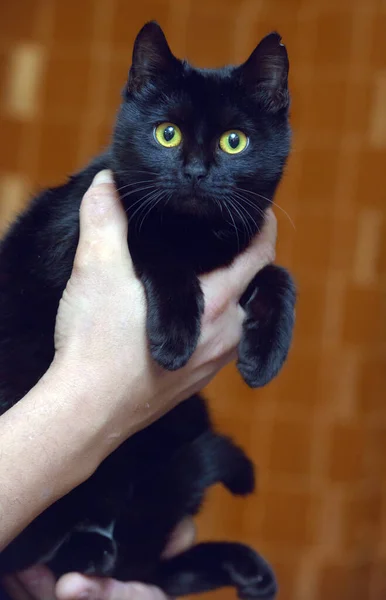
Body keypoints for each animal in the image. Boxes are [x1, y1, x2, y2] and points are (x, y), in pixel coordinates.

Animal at [0, 22, 296, 600]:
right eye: (167, 135)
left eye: (235, 141)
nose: (196, 172)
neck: (199, 238)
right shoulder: (76, 232)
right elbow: (152, 243)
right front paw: (176, 337)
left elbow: (278, 275)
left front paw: (265, 357)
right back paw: (88, 546)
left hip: (182, 427)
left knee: (146, 565)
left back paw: (245, 569)